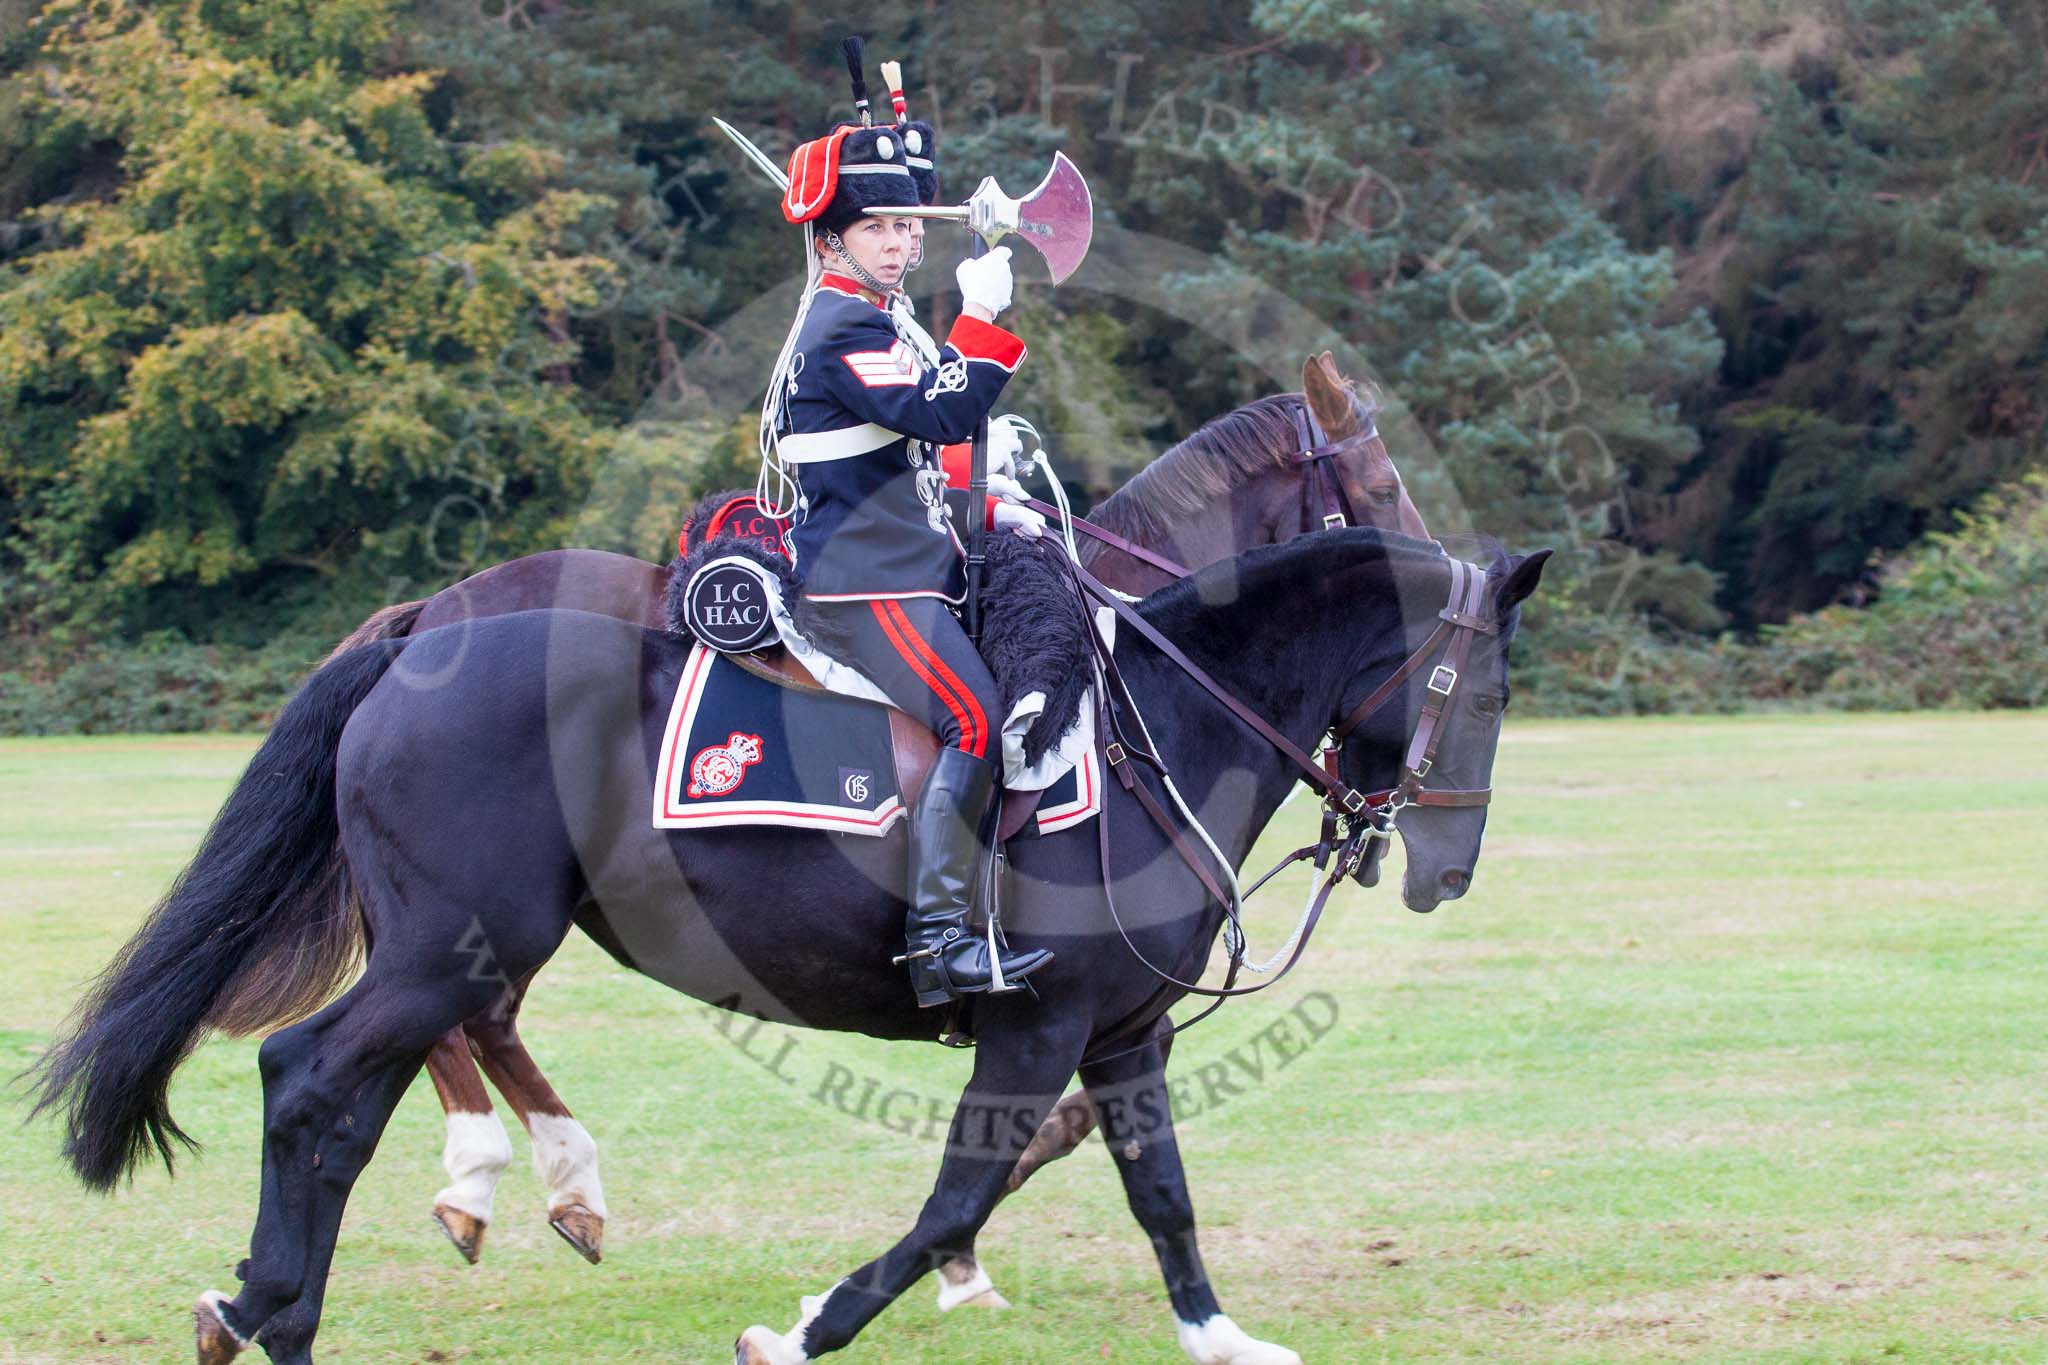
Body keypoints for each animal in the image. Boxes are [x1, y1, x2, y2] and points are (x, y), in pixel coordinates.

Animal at [32, 527, 1540, 1358]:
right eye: (1482, 689)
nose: (1449, 871)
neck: (1154, 730)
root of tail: (420, 639)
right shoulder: (1036, 1026)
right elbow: (953, 1202)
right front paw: (803, 1329)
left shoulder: (1122, 1034)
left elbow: (1158, 1194)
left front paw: (1219, 1338)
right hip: (444, 947)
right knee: (313, 1081)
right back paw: (302, 1296)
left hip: (451, 949)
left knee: (350, 1097)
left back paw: (284, 1299)